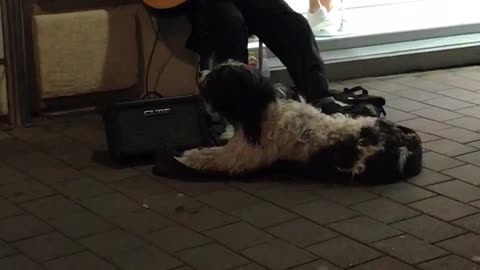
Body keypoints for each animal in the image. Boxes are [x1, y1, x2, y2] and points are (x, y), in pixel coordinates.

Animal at [164, 62, 420, 182]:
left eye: (219, 76)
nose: (200, 73)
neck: (259, 112)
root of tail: (402, 140)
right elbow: (210, 150)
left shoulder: (240, 160)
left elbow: (210, 158)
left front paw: (185, 158)